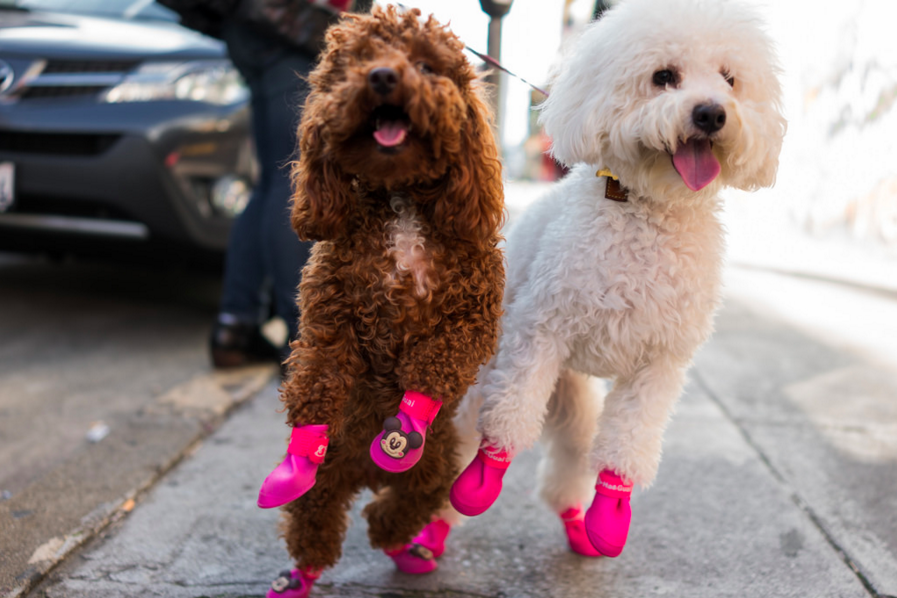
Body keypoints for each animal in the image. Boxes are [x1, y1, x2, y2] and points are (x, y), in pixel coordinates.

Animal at [272, 3, 504, 584]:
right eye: (356, 62)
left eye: (426, 65)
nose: (381, 77)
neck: (401, 199)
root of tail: (363, 476)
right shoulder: (329, 313)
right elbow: (319, 374)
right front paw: (301, 448)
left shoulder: (473, 317)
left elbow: (434, 364)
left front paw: (402, 432)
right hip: (330, 480)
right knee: (313, 518)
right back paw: (300, 565)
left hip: (439, 467)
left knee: (406, 505)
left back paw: (399, 531)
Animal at [440, 0, 784, 564]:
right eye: (663, 77)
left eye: (730, 80)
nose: (711, 113)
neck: (650, 212)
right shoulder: (539, 333)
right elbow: (511, 412)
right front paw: (484, 479)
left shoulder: (660, 364)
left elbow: (629, 440)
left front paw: (610, 515)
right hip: (492, 372)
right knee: (467, 430)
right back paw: (430, 533)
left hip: (574, 400)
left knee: (573, 457)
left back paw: (578, 523)